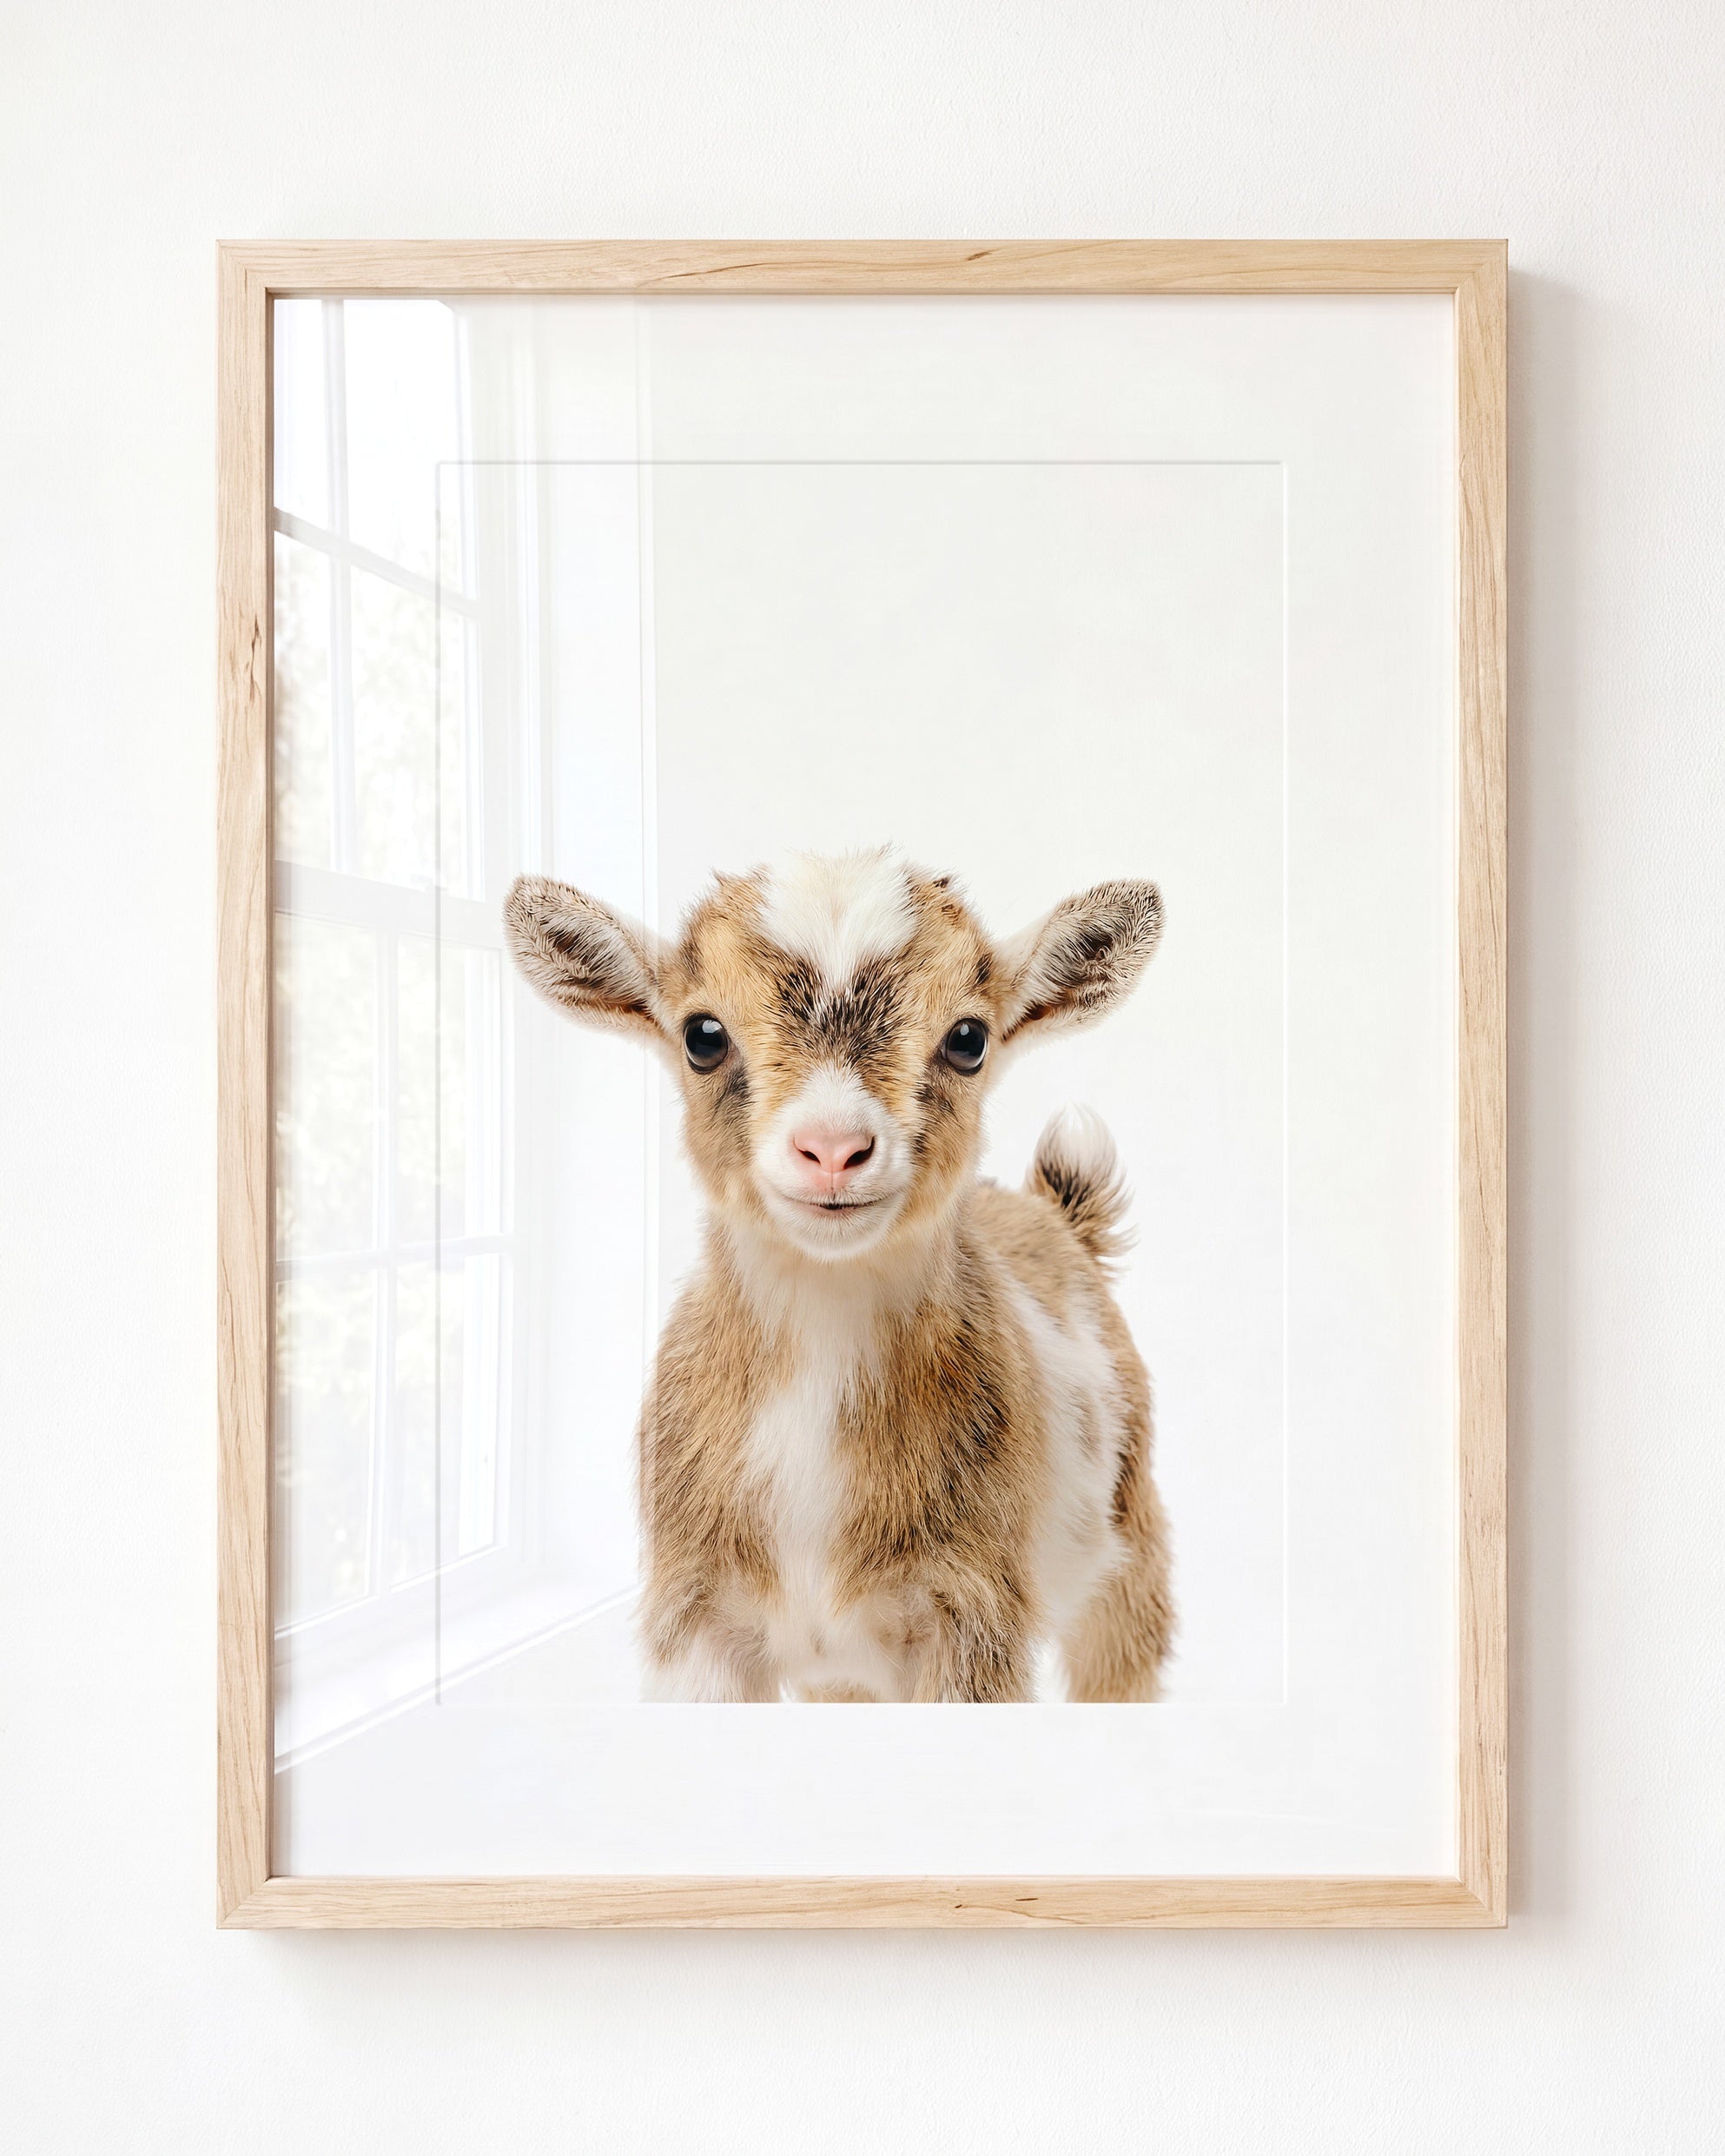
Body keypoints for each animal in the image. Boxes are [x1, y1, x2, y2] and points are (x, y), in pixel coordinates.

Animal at [504, 847, 1173, 1702]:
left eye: (968, 1038)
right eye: (702, 1035)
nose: (831, 1148)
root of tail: (1057, 1215)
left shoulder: (974, 1614)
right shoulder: (695, 1617)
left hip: (1131, 1549)